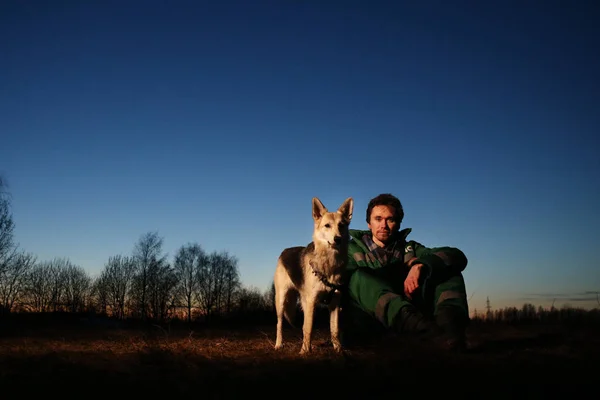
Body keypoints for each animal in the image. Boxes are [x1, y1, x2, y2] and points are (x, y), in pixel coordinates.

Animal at [276, 196, 354, 354]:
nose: (338, 239)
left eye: (341, 225)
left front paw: (339, 350)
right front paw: (305, 352)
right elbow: (309, 328)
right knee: (280, 324)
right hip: (281, 300)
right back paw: (278, 344)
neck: (329, 263)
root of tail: (284, 251)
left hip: (304, 302)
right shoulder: (312, 301)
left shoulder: (335, 304)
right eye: (327, 225)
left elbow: (334, 330)